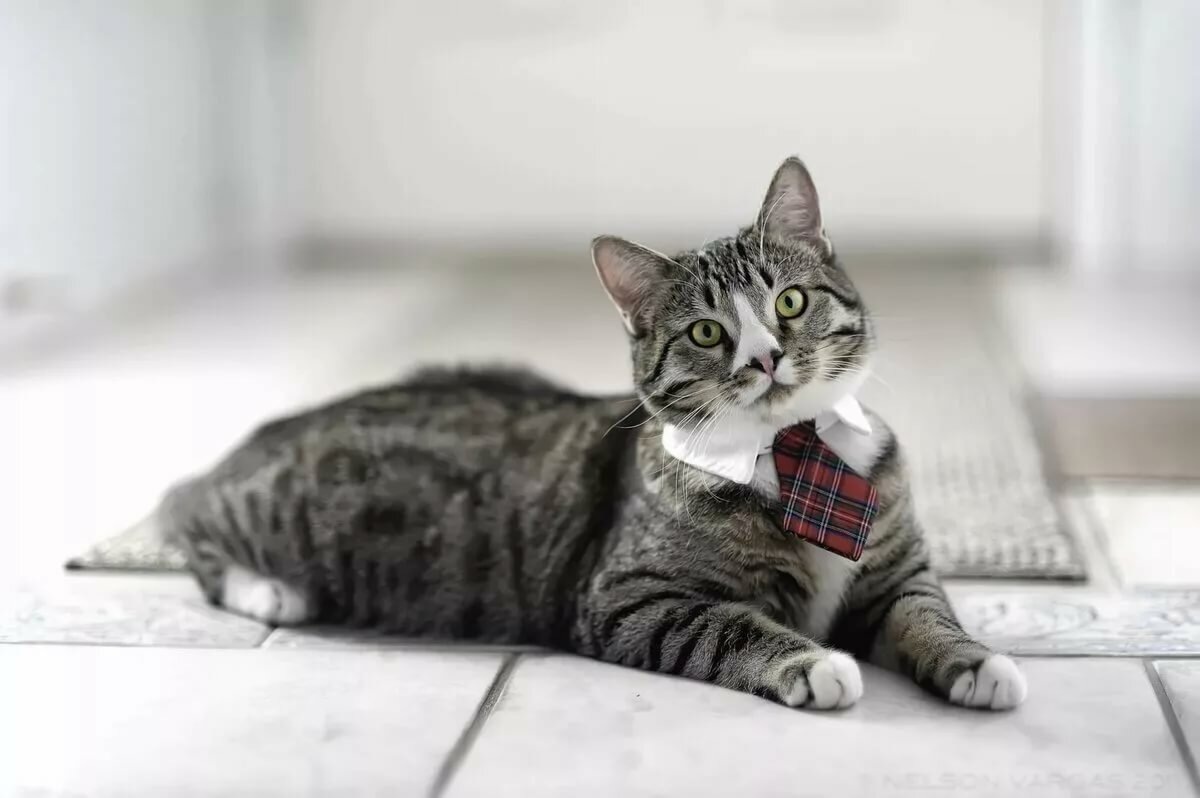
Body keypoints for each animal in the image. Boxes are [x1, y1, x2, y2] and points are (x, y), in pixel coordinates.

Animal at [159, 157, 1026, 711]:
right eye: (707, 332)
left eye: (789, 301)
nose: (766, 357)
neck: (794, 454)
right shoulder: (630, 595)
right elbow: (729, 625)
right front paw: (813, 663)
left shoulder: (895, 568)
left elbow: (925, 610)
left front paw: (978, 662)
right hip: (272, 509)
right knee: (188, 512)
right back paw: (267, 586)